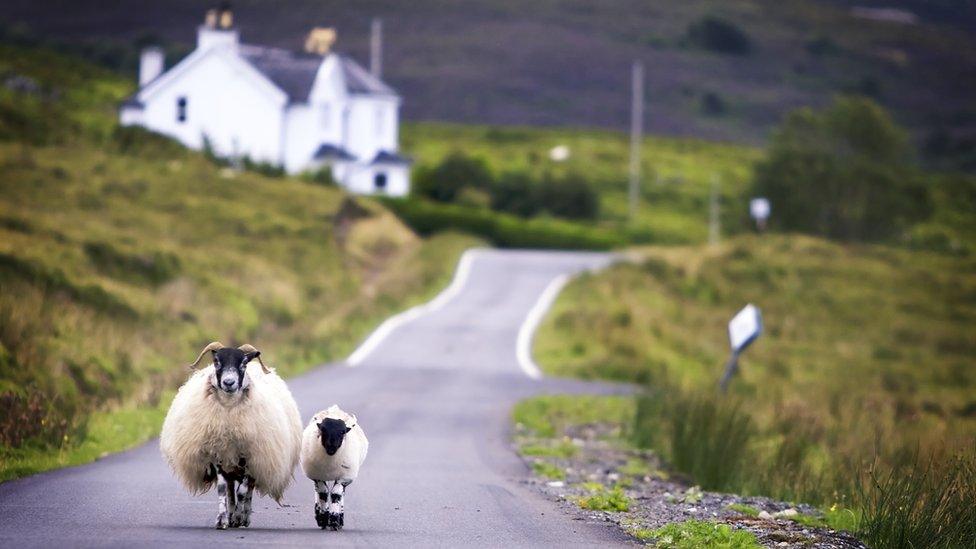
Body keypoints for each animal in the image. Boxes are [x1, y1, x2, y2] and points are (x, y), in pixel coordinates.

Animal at [158, 340, 304, 528]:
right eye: (216, 362)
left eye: (243, 364)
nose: (229, 382)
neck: (228, 413)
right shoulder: (218, 453)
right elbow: (223, 489)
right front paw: (222, 519)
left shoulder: (250, 455)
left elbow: (243, 491)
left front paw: (239, 517)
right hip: (230, 462)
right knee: (229, 489)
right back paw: (232, 513)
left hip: (257, 460)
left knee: (247, 489)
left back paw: (244, 516)